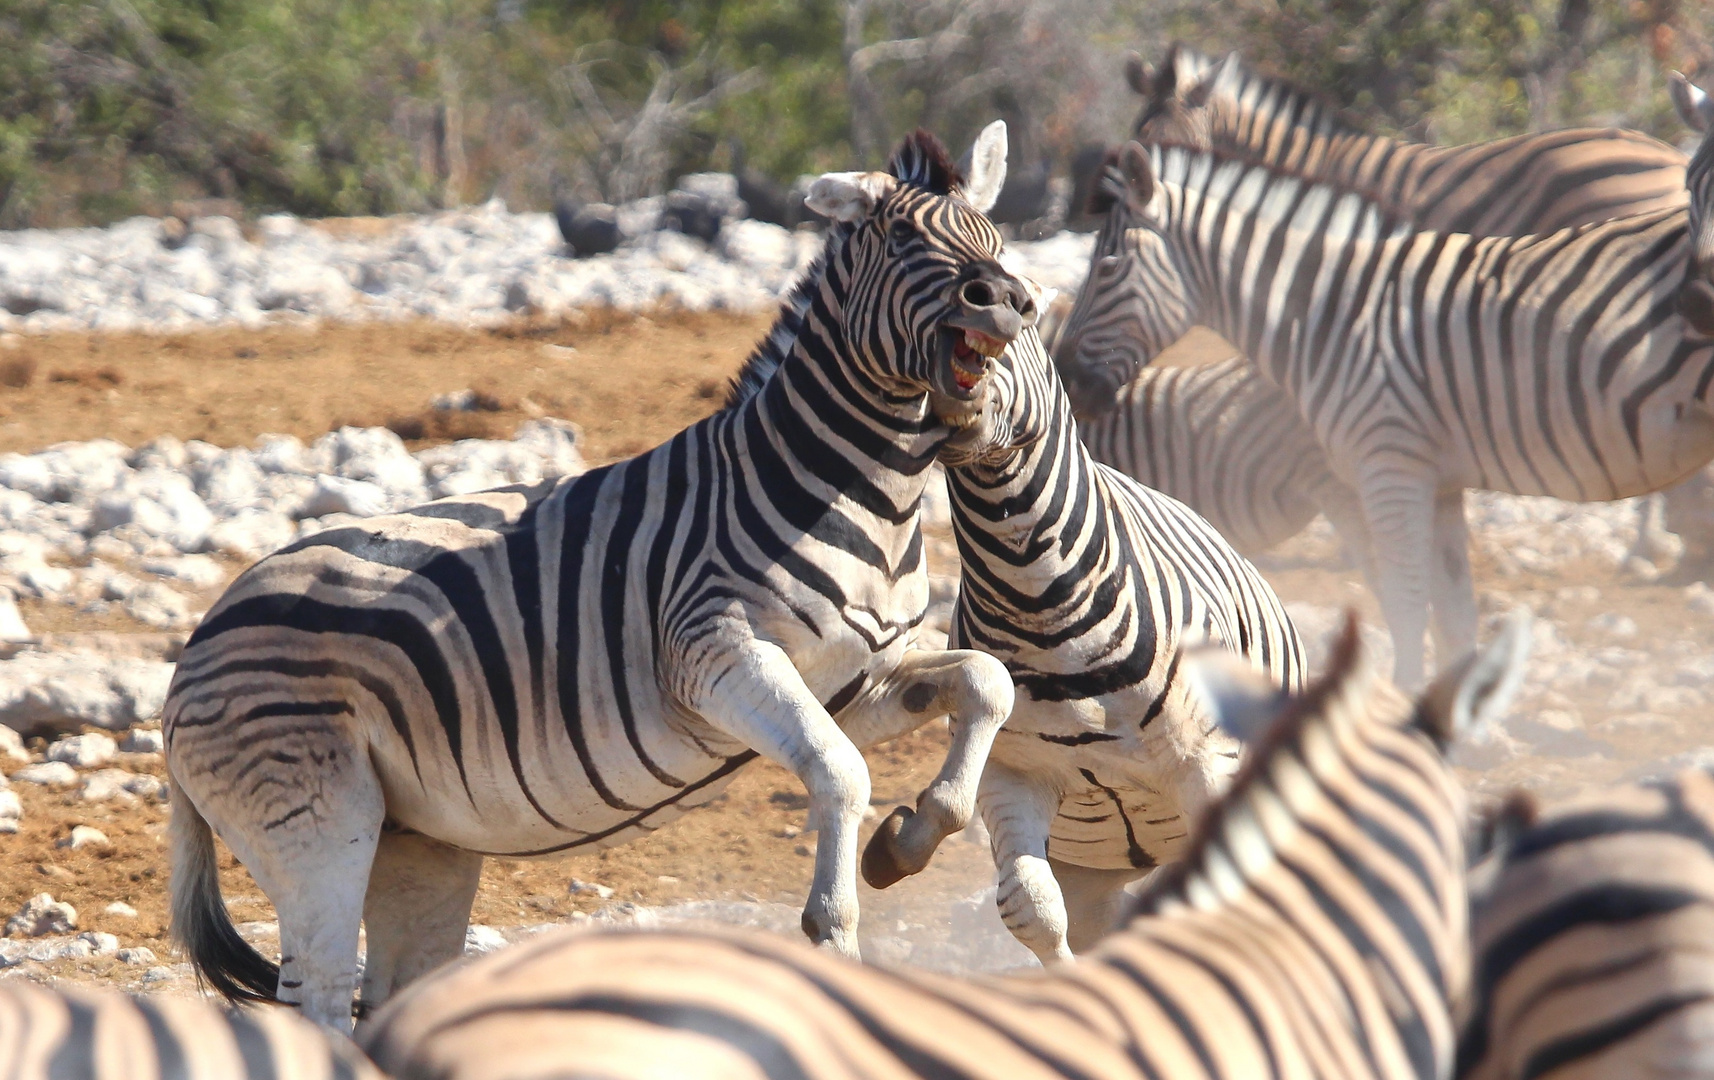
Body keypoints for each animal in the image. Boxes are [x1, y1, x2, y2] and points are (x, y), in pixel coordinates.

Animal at [167, 125, 1035, 1035]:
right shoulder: (715, 655)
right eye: (902, 238)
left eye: (997, 240)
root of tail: (195, 646)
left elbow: (986, 681)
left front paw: (909, 840)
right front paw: (833, 931)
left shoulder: (849, 682)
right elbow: (843, 774)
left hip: (414, 840)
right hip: (314, 819)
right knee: (321, 998)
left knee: (391, 990)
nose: (1008, 301)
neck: (855, 490)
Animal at [1055, 135, 1714, 689]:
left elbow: (1403, 601)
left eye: (1106, 267)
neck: (1327, 310)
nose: (1068, 382)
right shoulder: (1439, 480)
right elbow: (1455, 614)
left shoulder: (1388, 465)